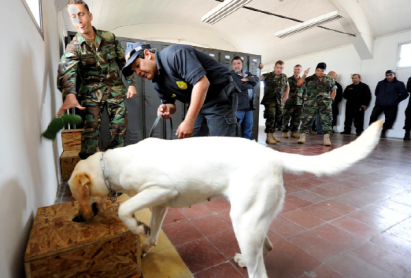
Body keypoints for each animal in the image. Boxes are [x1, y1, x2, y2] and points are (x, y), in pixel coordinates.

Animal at [68, 120, 384, 276]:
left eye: (74, 194)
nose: (76, 219)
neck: (112, 164)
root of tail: (272, 155)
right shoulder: (159, 203)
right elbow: (154, 231)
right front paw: (144, 242)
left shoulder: (162, 189)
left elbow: (126, 209)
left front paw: (134, 226)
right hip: (251, 220)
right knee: (266, 247)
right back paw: (244, 260)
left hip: (243, 222)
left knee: (260, 272)